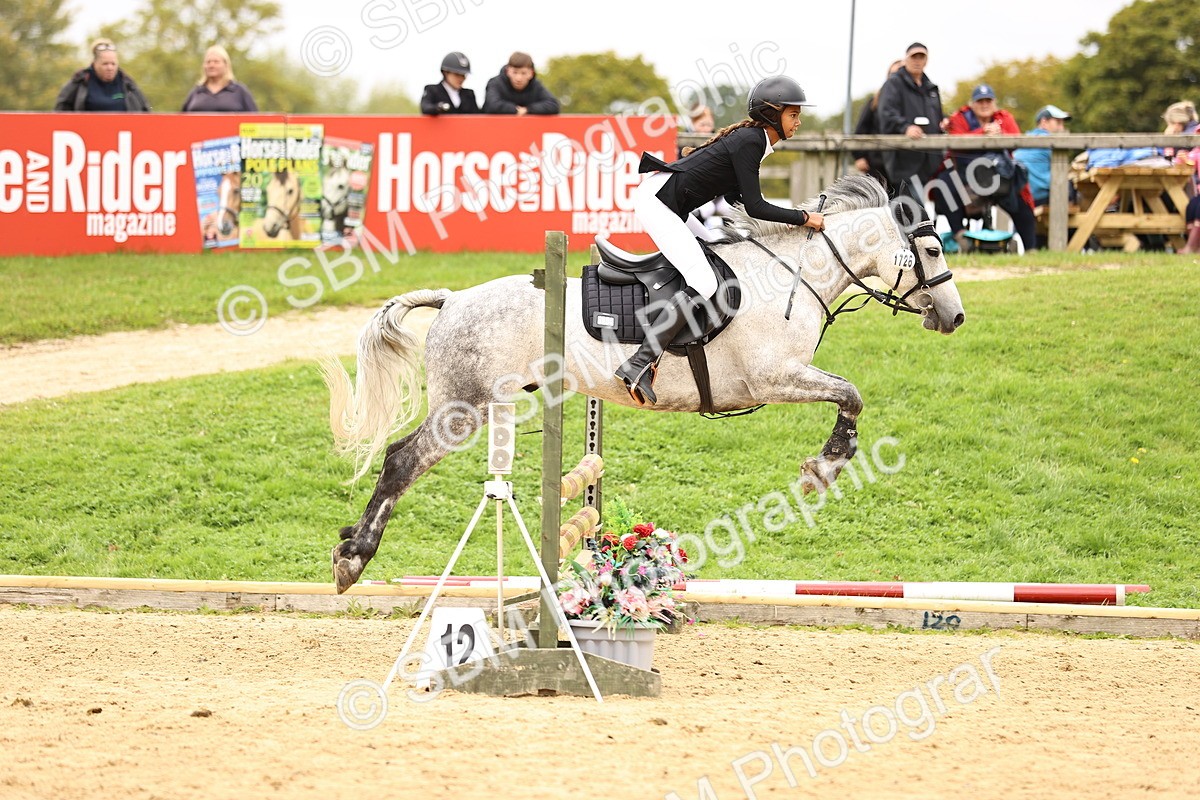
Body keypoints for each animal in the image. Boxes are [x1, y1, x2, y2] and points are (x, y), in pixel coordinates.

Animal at [321, 173, 965, 593]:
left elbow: (849, 394)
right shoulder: (773, 377)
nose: (955, 317)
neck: (790, 274)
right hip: (464, 409)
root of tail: (453, 299)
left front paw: (825, 465)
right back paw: (353, 557)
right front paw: (824, 467)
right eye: (932, 248)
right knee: (401, 460)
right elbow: (851, 394)